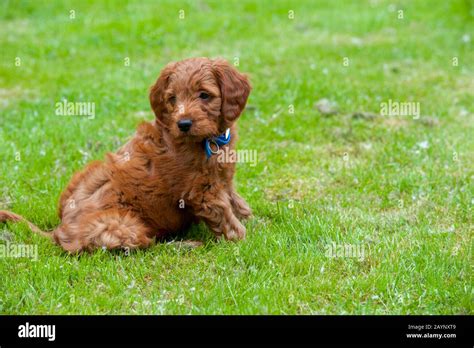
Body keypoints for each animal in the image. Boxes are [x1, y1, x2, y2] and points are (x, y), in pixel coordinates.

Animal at [0, 57, 254, 253]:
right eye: (172, 99)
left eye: (204, 95)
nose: (183, 124)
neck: (209, 140)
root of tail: (56, 231)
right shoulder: (202, 192)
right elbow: (226, 217)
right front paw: (246, 240)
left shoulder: (222, 179)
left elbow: (236, 202)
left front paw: (255, 222)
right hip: (122, 224)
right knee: (146, 245)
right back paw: (185, 244)